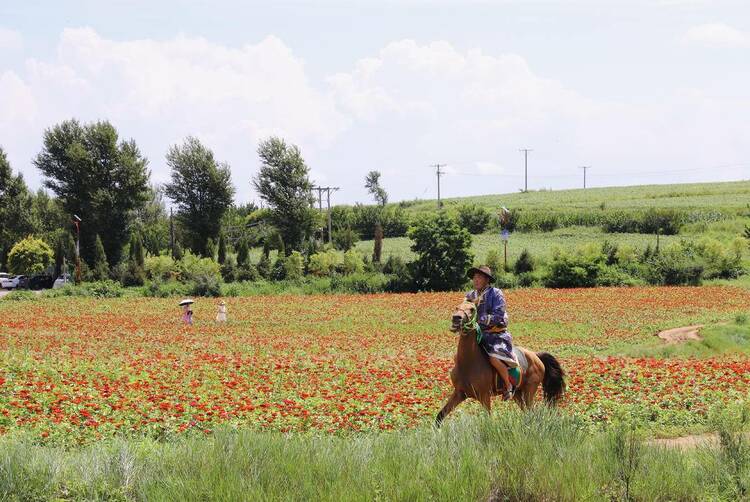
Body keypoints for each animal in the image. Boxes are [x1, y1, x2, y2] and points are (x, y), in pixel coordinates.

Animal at [438, 300, 568, 426]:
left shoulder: (484, 396)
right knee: (527, 412)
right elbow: (440, 415)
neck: (467, 364)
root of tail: (536, 355)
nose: (456, 318)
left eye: (472, 309)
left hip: (529, 390)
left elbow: (488, 419)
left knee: (532, 411)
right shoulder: (459, 393)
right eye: (456, 307)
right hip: (518, 394)